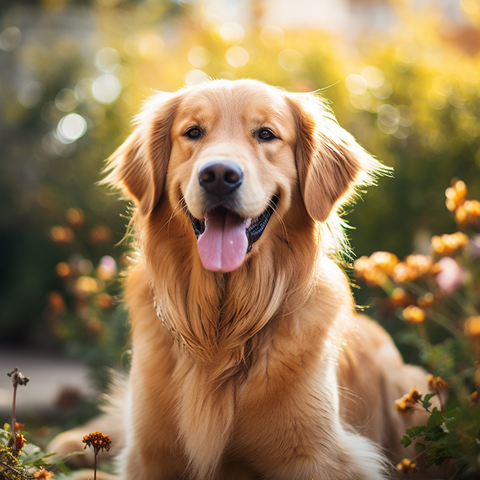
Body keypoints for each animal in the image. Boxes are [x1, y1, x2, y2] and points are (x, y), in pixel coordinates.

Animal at [49, 79, 432, 480]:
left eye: (266, 134)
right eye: (193, 132)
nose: (218, 175)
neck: (223, 330)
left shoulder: (322, 457)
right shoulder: (147, 454)